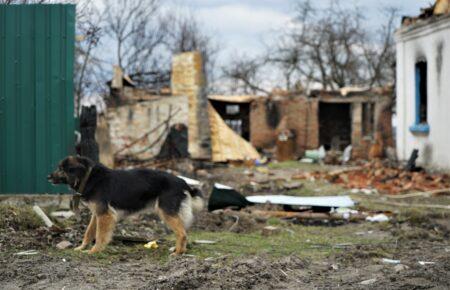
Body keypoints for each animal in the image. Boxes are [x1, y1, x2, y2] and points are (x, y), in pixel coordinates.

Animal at [48, 156, 204, 254]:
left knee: (182, 233)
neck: (89, 176)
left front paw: (94, 251)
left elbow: (99, 235)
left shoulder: (105, 214)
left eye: (61, 169)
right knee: (182, 231)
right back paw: (179, 250)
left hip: (166, 212)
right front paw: (81, 248)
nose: (47, 177)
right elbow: (88, 232)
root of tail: (182, 182)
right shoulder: (97, 213)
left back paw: (178, 253)